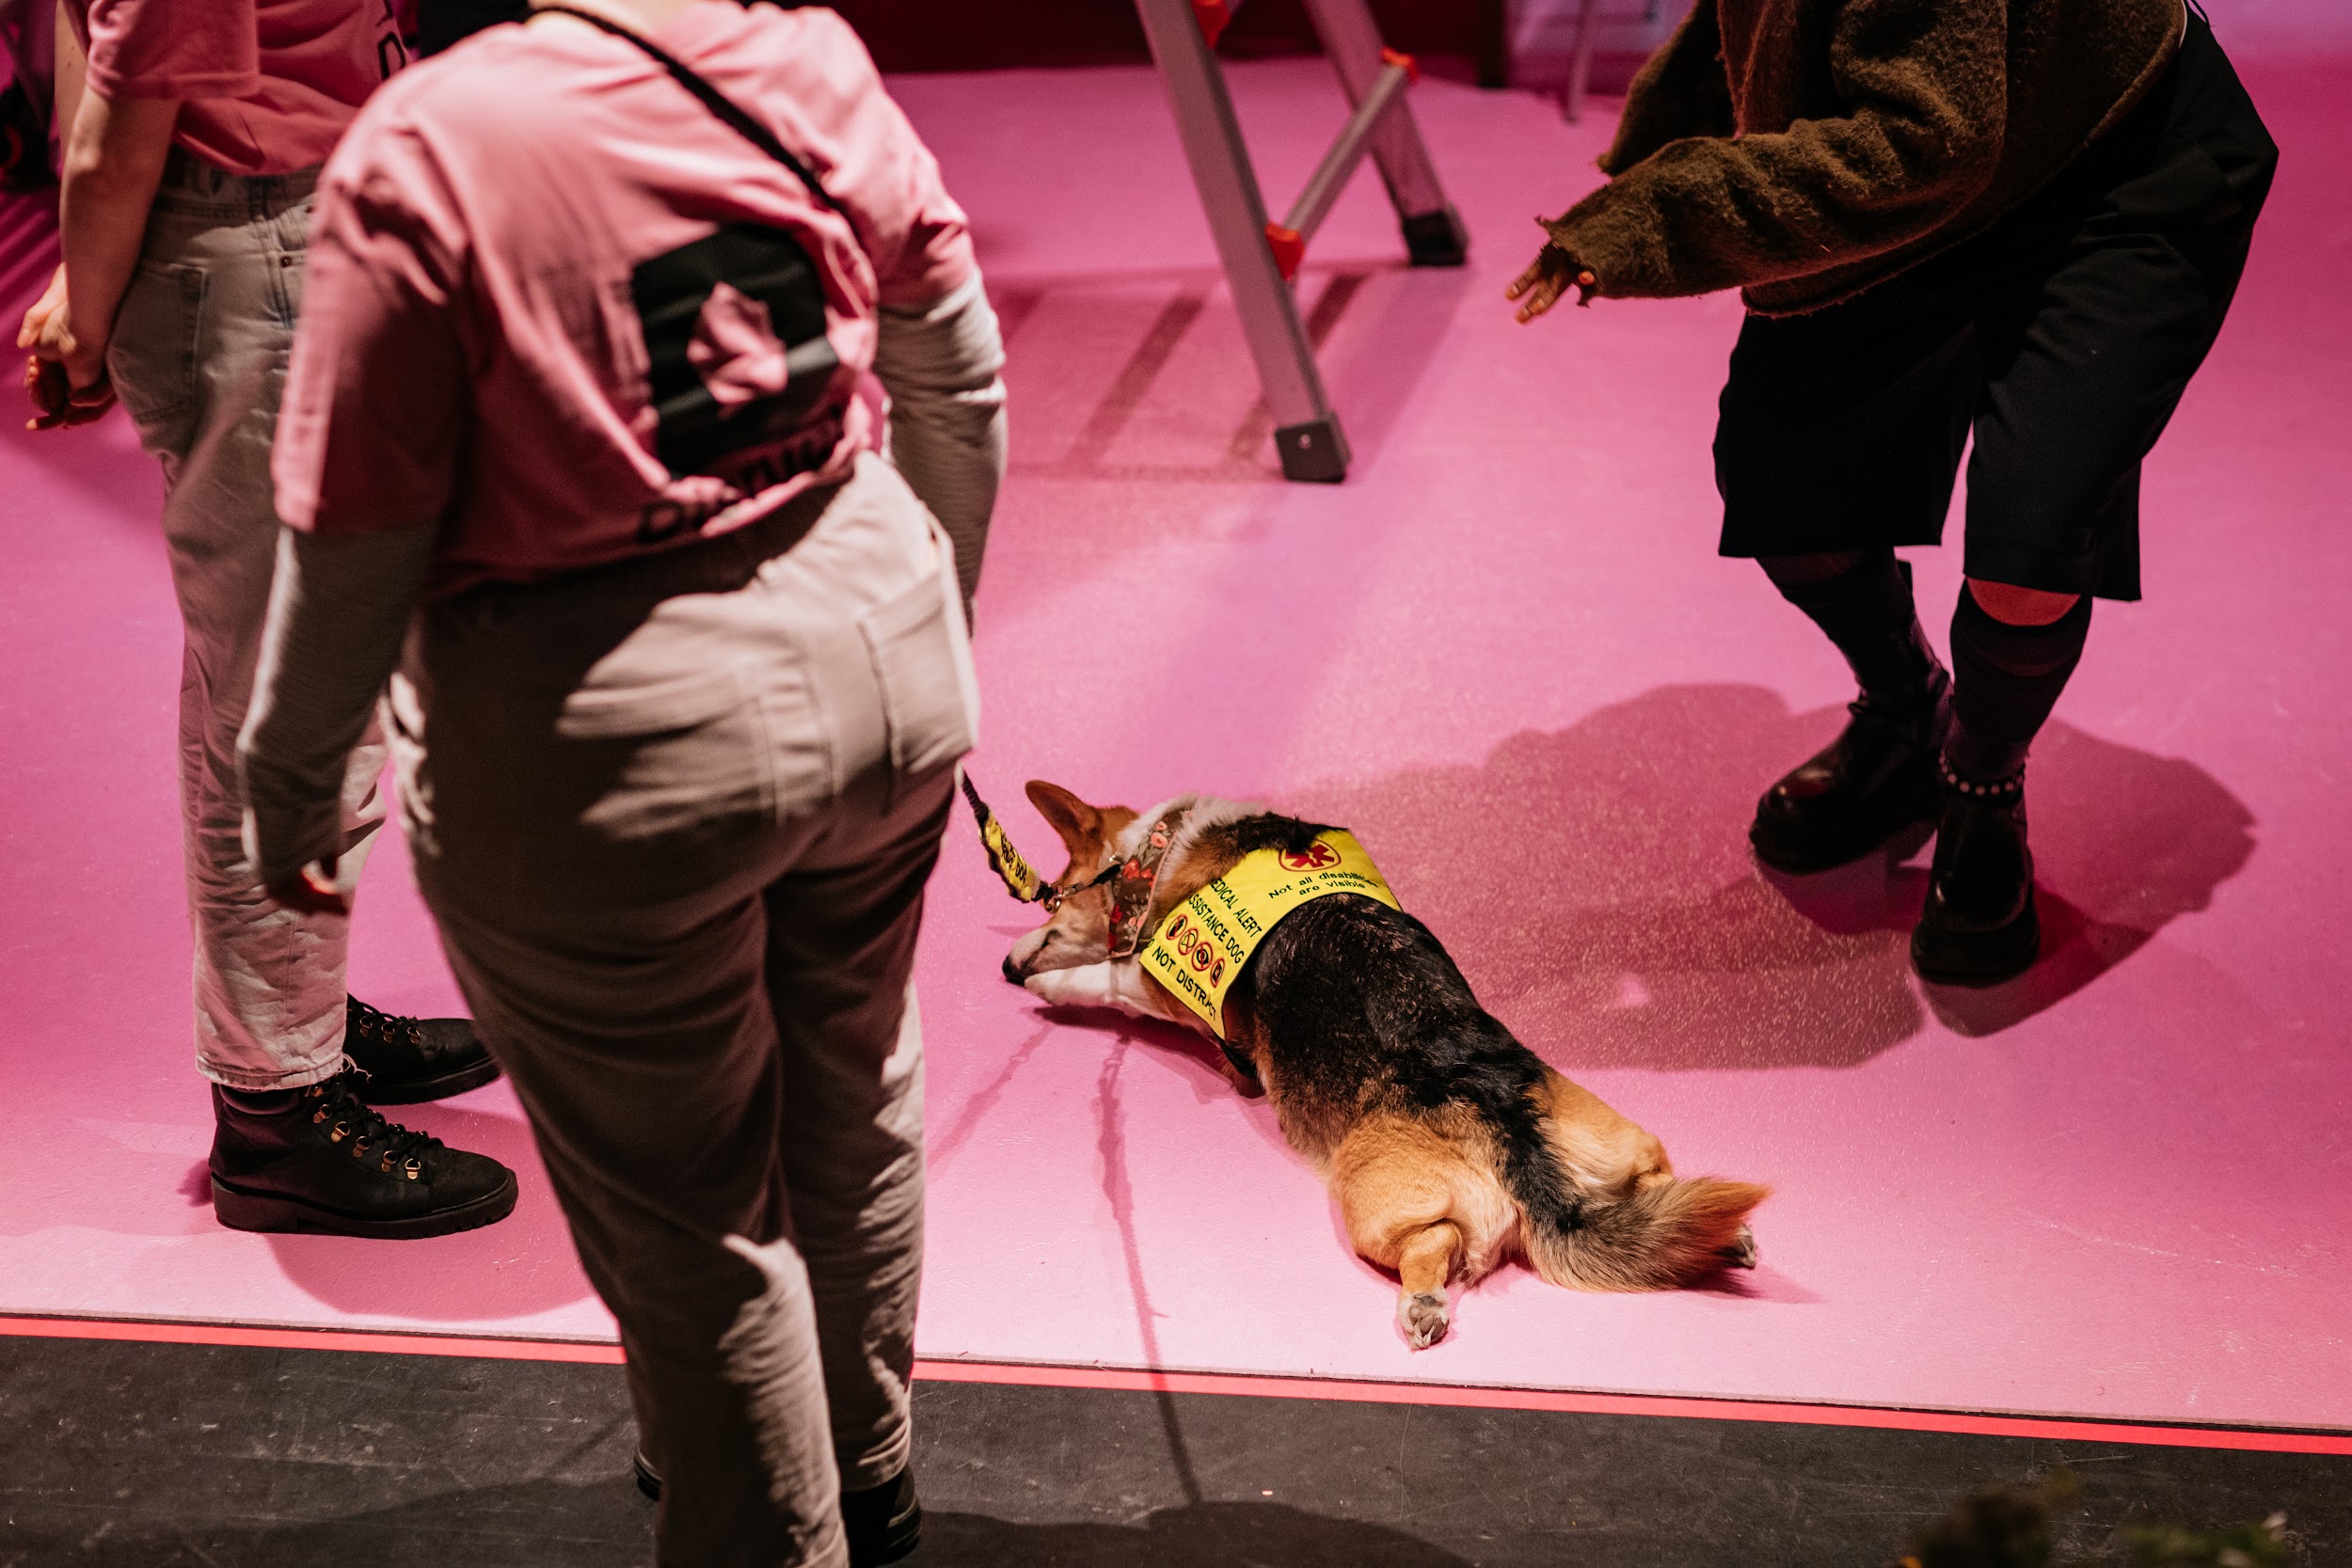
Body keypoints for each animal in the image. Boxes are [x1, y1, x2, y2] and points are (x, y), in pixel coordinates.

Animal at [983, 784, 1769, 1354]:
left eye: (1055, 897)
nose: (1006, 967)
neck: (1156, 852)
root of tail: (1514, 1140)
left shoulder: (1151, 985)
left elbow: (1102, 981)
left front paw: (1054, 987)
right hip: (1615, 1133)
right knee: (1654, 1176)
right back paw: (1724, 1232)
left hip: (1370, 1205)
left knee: (1435, 1243)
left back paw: (1421, 1305)